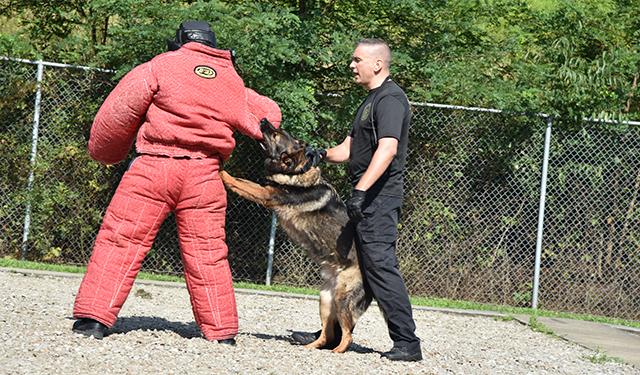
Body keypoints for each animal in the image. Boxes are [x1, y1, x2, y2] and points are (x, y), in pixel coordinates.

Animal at [220, 119, 372, 352]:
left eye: (276, 134)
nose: (263, 120)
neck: (296, 172)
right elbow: (242, 180)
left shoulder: (266, 194)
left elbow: (239, 181)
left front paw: (222, 171)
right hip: (325, 300)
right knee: (327, 334)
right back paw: (310, 347)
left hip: (342, 299)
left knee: (347, 336)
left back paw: (336, 351)